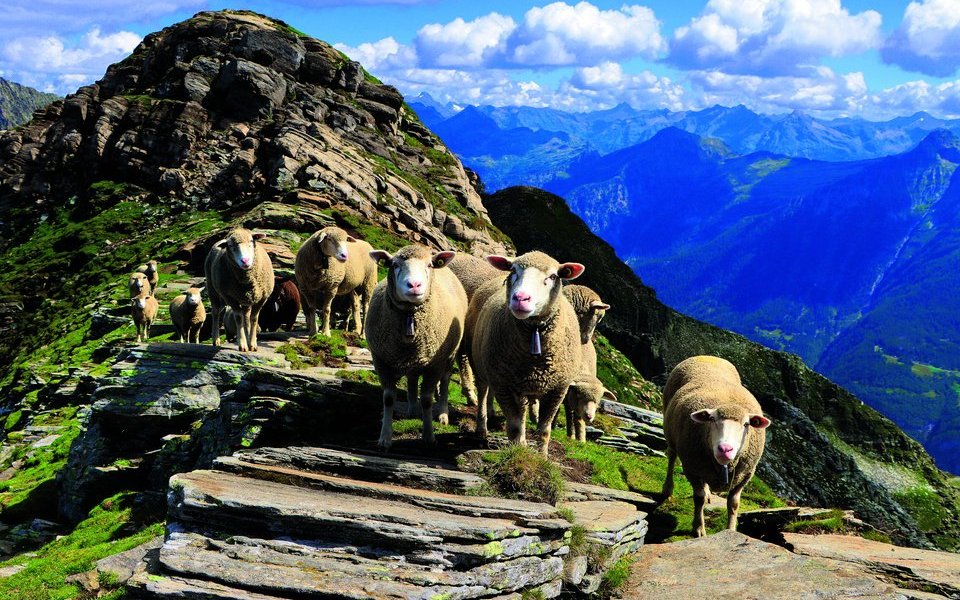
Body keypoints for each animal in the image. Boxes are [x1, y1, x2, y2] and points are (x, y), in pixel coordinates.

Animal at [364, 245, 468, 450]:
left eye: (429, 265)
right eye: (395, 265)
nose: (414, 285)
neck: (410, 318)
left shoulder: (435, 364)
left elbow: (427, 399)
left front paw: (428, 436)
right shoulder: (381, 361)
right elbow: (388, 398)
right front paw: (385, 438)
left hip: (448, 354)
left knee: (445, 381)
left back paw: (442, 413)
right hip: (414, 357)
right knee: (412, 377)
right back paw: (412, 408)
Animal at [468, 251, 580, 458]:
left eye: (553, 276)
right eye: (513, 270)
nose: (520, 298)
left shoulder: (557, 389)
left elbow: (544, 430)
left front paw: (542, 457)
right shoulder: (503, 384)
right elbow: (514, 426)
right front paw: (516, 452)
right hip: (482, 365)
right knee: (483, 393)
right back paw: (482, 429)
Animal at [660, 356, 772, 540]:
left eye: (746, 424)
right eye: (711, 419)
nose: (725, 449)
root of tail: (708, 356)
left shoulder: (745, 474)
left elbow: (734, 504)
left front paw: (731, 530)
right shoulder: (692, 468)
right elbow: (698, 499)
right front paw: (698, 529)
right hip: (670, 431)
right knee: (671, 457)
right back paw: (667, 489)